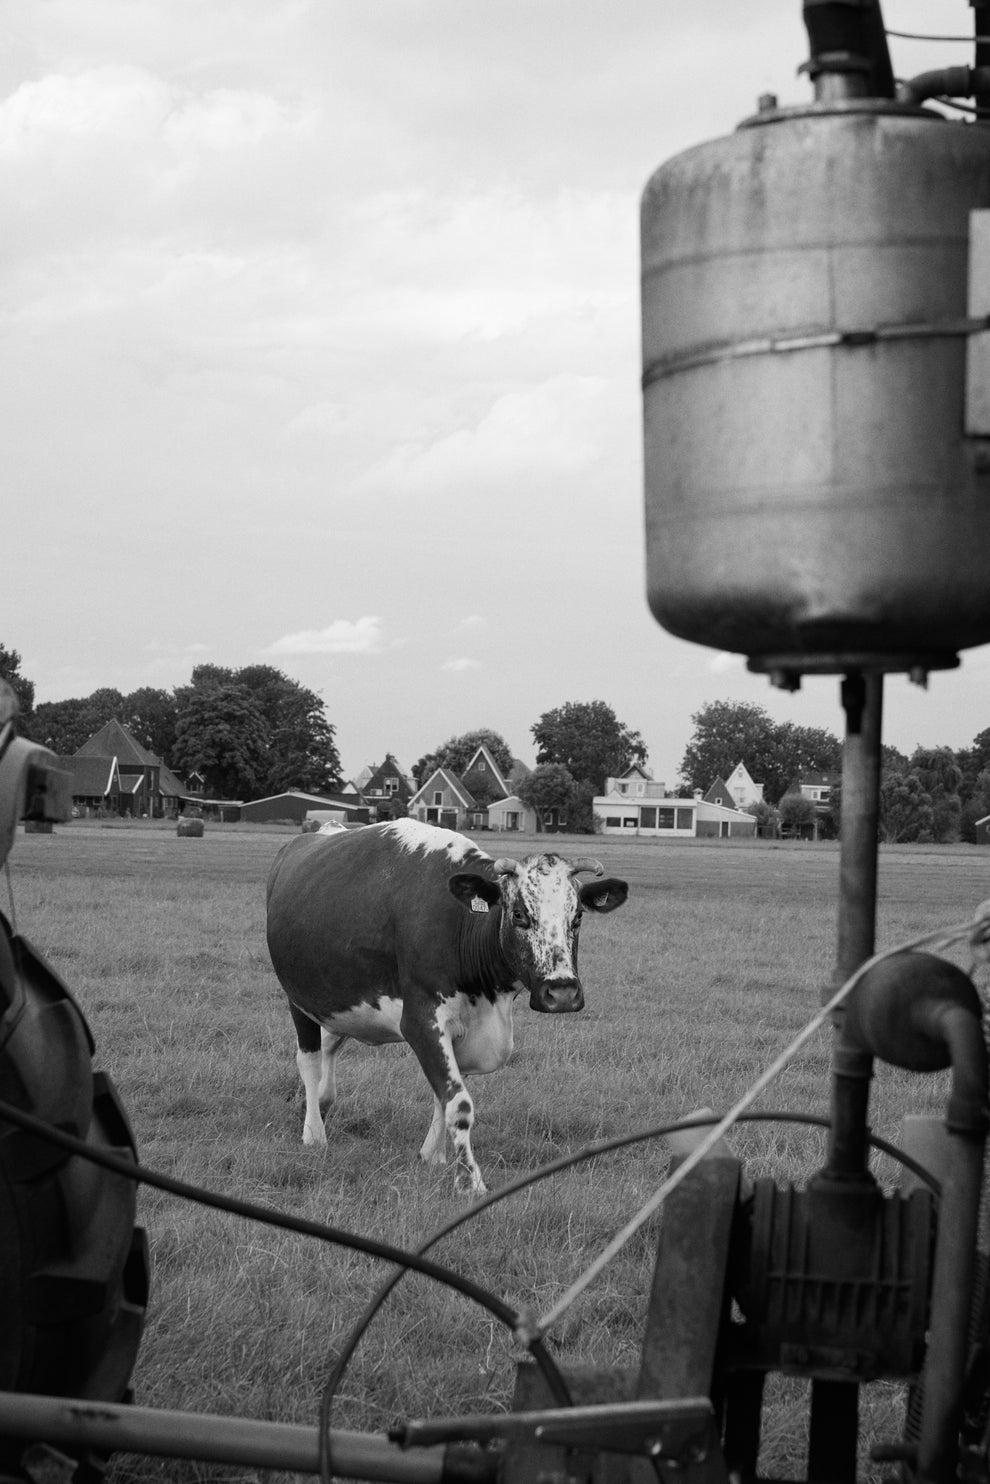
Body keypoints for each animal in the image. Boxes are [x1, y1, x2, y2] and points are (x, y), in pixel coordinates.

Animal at [265, 818, 628, 1194]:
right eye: (518, 914)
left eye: (578, 916)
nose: (562, 992)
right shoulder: (422, 1021)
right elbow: (458, 1103)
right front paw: (469, 1180)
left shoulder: (467, 1029)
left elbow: (444, 1095)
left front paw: (433, 1155)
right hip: (299, 999)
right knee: (309, 1061)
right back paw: (314, 1133)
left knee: (330, 1045)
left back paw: (322, 1103)